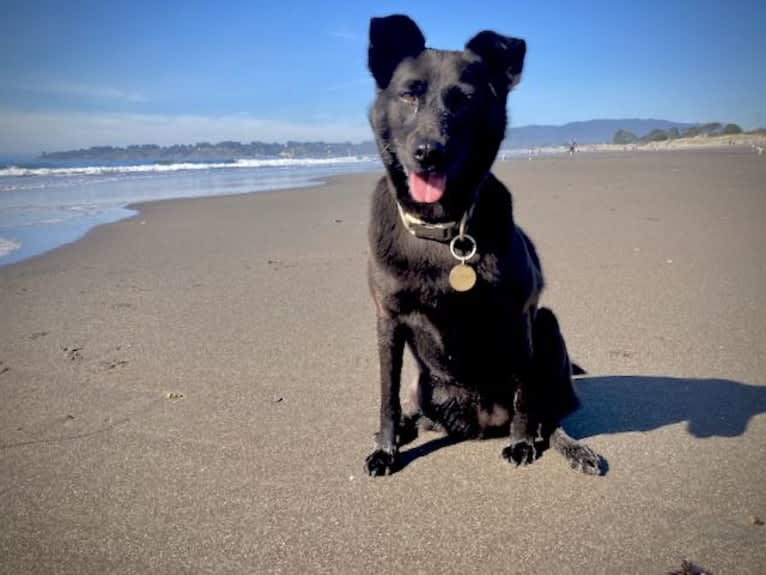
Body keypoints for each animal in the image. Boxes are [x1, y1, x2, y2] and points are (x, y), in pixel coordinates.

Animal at [366, 16, 608, 476]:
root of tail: (478, 423)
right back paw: (407, 427)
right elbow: (386, 397)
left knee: (549, 416)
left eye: (464, 101)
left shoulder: (520, 316)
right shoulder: (388, 321)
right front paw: (387, 447)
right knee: (416, 410)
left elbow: (525, 396)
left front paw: (521, 442)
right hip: (425, 385)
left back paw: (570, 447)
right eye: (408, 93)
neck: (442, 226)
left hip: (547, 326)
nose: (429, 154)